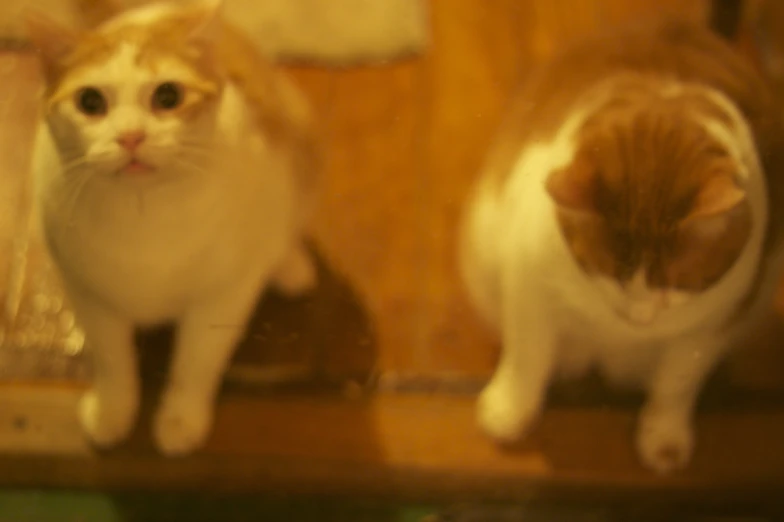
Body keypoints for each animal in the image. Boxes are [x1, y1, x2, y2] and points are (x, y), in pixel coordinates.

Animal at [25, 0, 318, 456]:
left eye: (168, 96)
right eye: (90, 101)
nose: (130, 136)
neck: (143, 223)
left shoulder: (222, 299)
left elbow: (195, 363)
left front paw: (180, 421)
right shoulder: (89, 294)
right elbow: (112, 360)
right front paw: (112, 413)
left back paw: (290, 266)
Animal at [460, 20, 784, 474]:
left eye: (676, 283)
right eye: (610, 270)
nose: (639, 318)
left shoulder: (714, 323)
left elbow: (676, 384)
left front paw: (663, 441)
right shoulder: (529, 282)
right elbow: (528, 354)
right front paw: (509, 411)